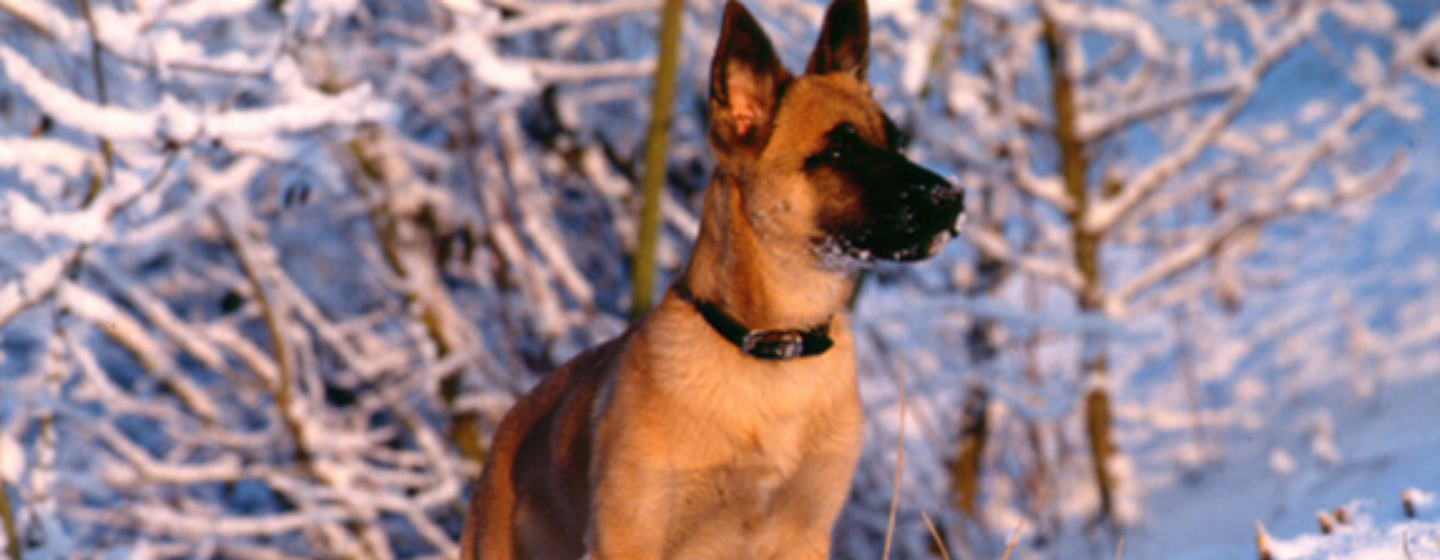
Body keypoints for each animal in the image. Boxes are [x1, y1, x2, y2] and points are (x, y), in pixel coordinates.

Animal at [455, 0, 961, 555]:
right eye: (838, 153)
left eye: (897, 142)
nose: (954, 199)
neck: (774, 350)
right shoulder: (629, 538)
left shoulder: (804, 535)